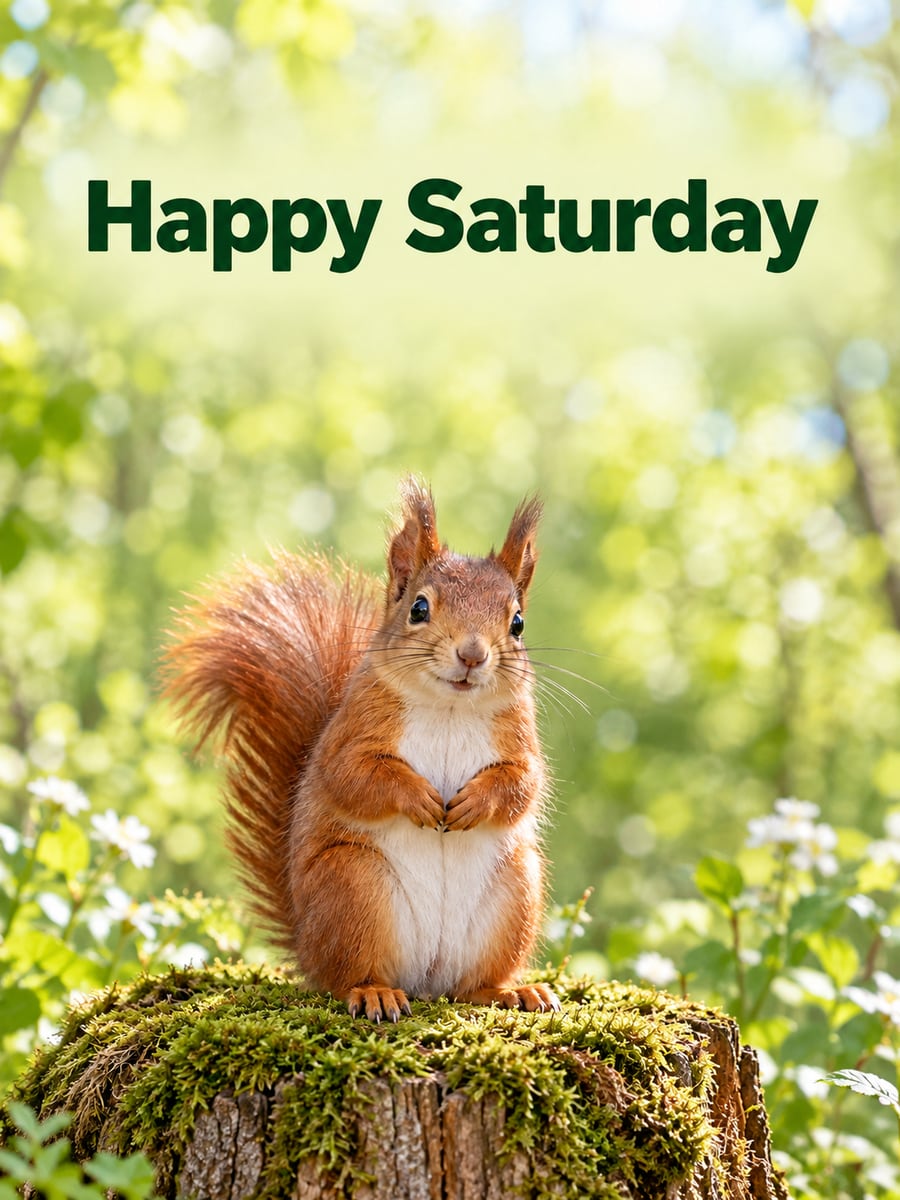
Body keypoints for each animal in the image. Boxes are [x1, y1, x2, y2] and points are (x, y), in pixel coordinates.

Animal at [163, 478, 559, 1022]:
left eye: (517, 623)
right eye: (419, 608)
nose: (472, 654)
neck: (450, 707)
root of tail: (425, 979)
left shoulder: (520, 736)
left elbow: (524, 782)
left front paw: (474, 803)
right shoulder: (350, 733)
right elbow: (352, 775)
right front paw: (419, 798)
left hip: (516, 890)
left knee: (470, 985)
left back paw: (509, 991)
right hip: (353, 886)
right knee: (346, 977)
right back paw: (373, 992)